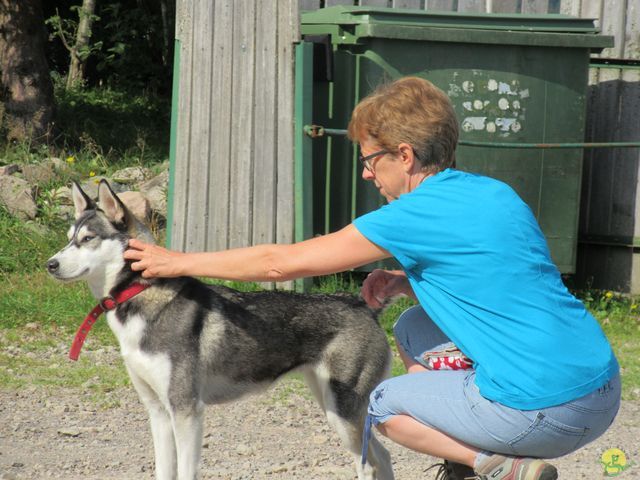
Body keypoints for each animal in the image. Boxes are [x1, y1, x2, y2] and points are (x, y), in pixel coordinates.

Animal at [46, 180, 396, 480]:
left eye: (88, 238)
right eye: (68, 237)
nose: (50, 264)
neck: (140, 294)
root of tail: (364, 305)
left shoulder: (186, 411)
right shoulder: (158, 413)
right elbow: (163, 471)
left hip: (343, 415)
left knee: (369, 464)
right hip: (334, 408)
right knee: (385, 455)